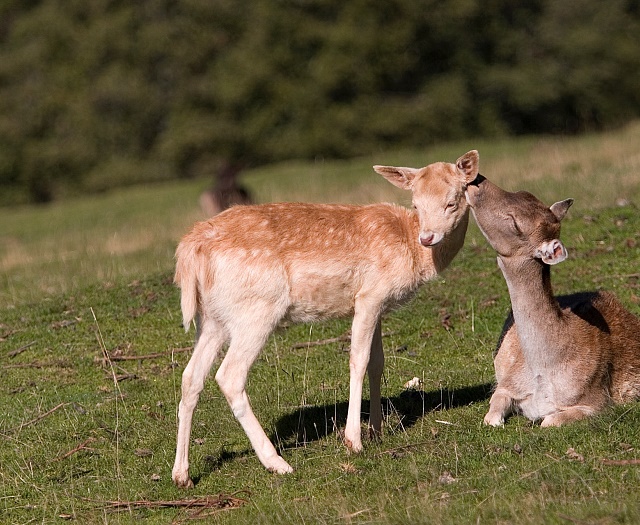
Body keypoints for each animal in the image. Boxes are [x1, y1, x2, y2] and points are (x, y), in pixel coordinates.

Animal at [171, 149, 480, 486]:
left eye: (451, 202)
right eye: (415, 203)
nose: (428, 237)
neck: (411, 248)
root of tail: (190, 249)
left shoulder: (377, 305)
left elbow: (377, 363)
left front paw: (377, 431)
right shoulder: (370, 294)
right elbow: (358, 360)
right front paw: (354, 441)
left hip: (212, 319)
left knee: (190, 377)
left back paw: (182, 475)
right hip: (257, 309)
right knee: (229, 376)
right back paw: (277, 463)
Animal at [464, 175, 640, 426]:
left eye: (515, 224)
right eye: (522, 191)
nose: (476, 181)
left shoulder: (596, 401)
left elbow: (550, 421)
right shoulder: (507, 384)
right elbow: (492, 413)